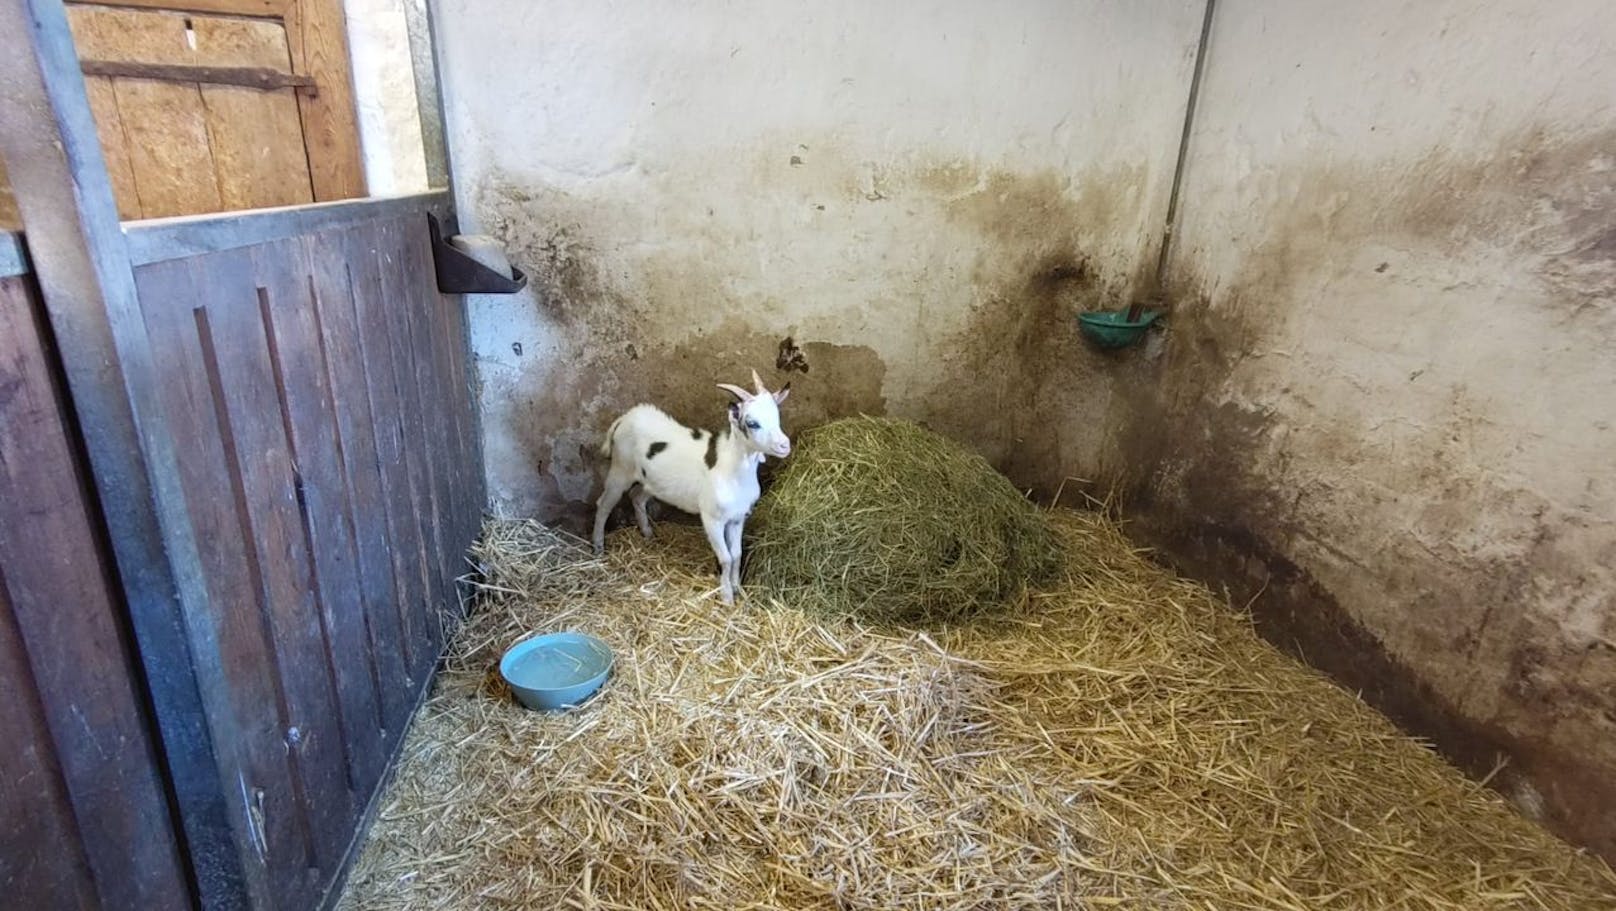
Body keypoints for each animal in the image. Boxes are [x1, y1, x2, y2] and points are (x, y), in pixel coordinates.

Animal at [594, 369, 795, 604]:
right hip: (621, 469)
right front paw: (727, 597)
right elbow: (726, 558)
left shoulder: (737, 518)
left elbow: (736, 554)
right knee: (604, 504)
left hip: (651, 481)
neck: (732, 470)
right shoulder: (712, 518)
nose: (784, 445)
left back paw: (648, 534)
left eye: (777, 417)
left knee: (637, 497)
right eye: (752, 423)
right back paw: (598, 547)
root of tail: (624, 418)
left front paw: (738, 589)